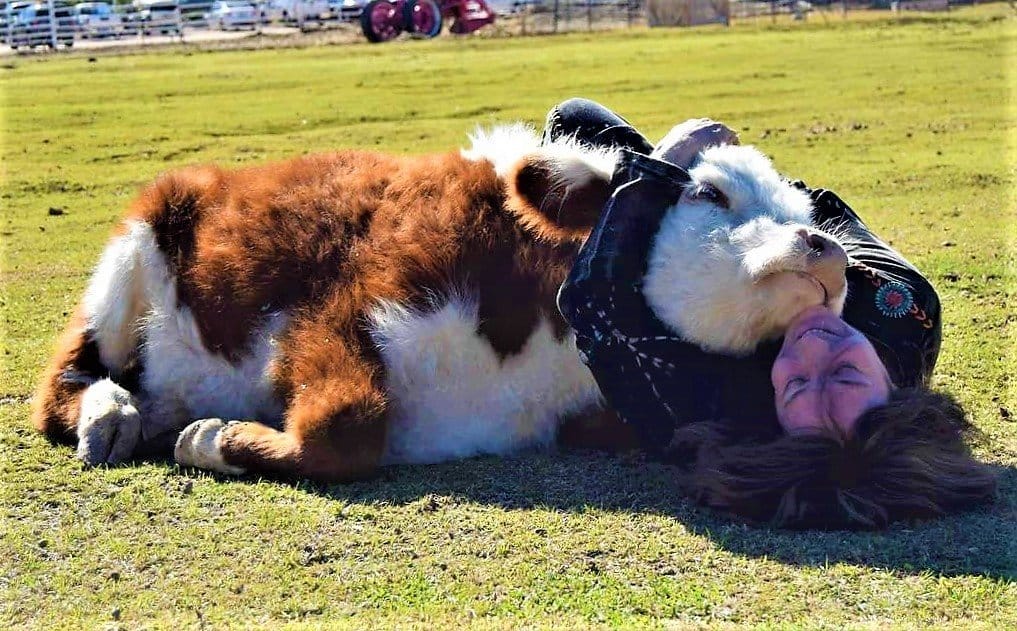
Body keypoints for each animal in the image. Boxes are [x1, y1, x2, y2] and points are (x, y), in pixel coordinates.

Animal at [31, 123, 846, 481]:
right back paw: (112, 416)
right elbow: (347, 424)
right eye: (711, 193)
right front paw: (213, 439)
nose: (827, 250)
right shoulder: (343, 310)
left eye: (800, 204)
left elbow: (347, 434)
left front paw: (213, 437)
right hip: (132, 253)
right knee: (64, 382)